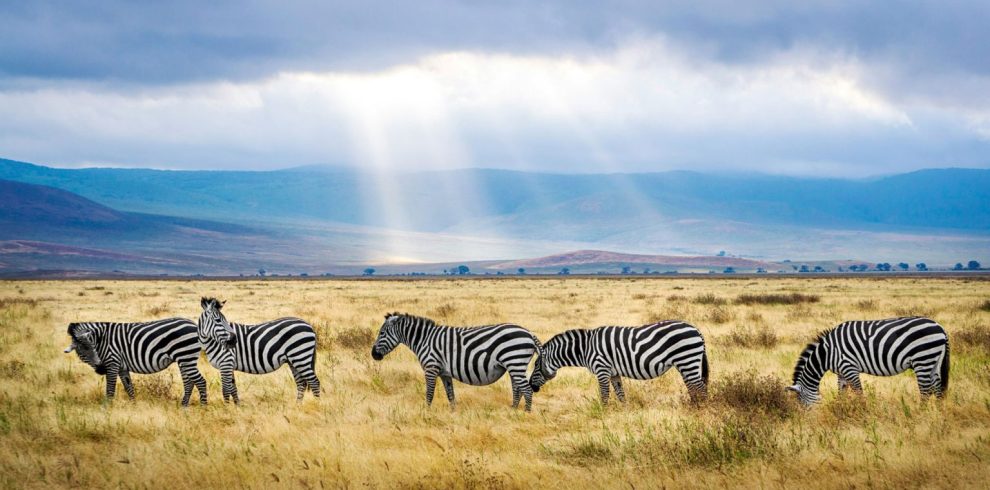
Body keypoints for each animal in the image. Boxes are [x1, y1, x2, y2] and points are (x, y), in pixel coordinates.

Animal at [63, 318, 207, 407]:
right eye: (82, 352)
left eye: (93, 348)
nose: (101, 369)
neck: (102, 340)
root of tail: (194, 324)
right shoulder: (122, 367)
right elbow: (129, 388)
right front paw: (134, 406)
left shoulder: (112, 362)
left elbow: (110, 389)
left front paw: (107, 409)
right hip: (184, 359)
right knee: (189, 383)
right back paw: (184, 406)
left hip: (186, 357)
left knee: (200, 381)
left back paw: (203, 407)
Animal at [370, 312, 542, 411]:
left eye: (382, 333)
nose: (373, 355)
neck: (424, 340)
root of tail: (529, 333)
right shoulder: (444, 373)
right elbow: (450, 394)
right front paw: (453, 413)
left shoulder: (431, 368)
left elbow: (429, 393)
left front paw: (426, 413)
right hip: (514, 365)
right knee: (517, 389)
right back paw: (512, 411)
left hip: (515, 362)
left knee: (527, 390)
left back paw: (525, 414)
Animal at [528, 321, 709, 404]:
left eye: (536, 366)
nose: (531, 386)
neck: (585, 349)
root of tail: (696, 329)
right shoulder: (614, 373)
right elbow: (620, 394)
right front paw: (624, 413)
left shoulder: (602, 369)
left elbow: (604, 394)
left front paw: (603, 414)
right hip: (686, 363)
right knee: (693, 387)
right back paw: (693, 407)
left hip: (687, 359)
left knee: (700, 388)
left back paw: (702, 410)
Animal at [788, 316, 949, 406]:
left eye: (802, 402)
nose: (807, 421)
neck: (827, 353)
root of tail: (940, 327)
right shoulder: (841, 372)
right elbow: (842, 393)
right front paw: (840, 410)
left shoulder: (849, 367)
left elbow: (859, 393)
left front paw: (863, 413)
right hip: (934, 361)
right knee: (937, 388)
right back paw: (939, 416)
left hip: (922, 359)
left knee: (926, 391)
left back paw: (919, 415)